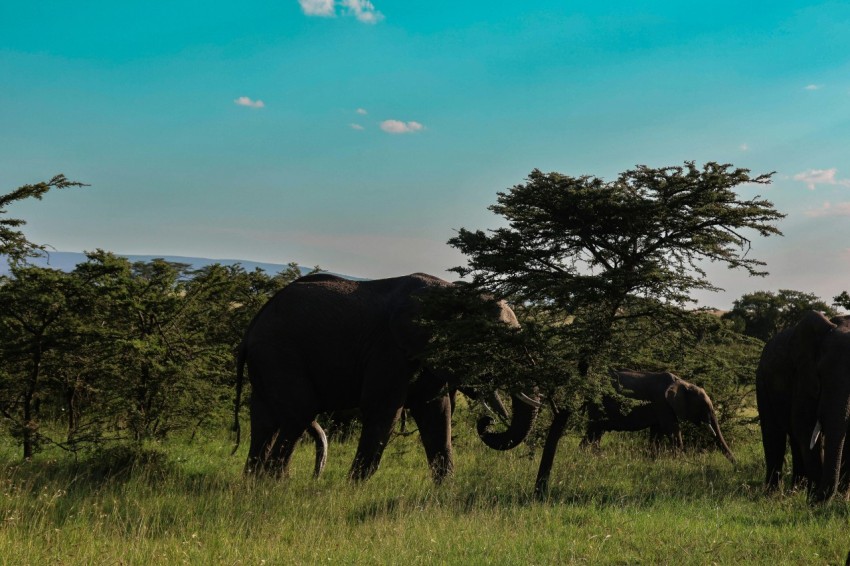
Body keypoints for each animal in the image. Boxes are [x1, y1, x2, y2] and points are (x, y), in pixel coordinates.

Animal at [233, 272, 540, 482]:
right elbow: (383, 411)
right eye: (496, 345)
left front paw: (445, 491)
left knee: (264, 421)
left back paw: (253, 484)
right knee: (298, 414)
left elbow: (436, 415)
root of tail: (252, 326)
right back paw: (275, 485)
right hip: (279, 352)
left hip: (267, 360)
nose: (486, 422)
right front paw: (351, 490)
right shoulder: (389, 350)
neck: (454, 295)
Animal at [581, 369, 736, 464]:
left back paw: (591, 456)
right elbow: (672, 429)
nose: (736, 465)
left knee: (596, 433)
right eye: (703, 406)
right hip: (598, 405)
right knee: (594, 431)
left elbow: (657, 432)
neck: (682, 382)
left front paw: (653, 459)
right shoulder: (662, 403)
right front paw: (681, 462)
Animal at [756, 311, 850, 501]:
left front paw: (839, 499)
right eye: (820, 373)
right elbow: (805, 426)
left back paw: (795, 490)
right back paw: (772, 495)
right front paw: (814, 500)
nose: (820, 499)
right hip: (762, 380)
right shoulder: (803, 374)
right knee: (773, 434)